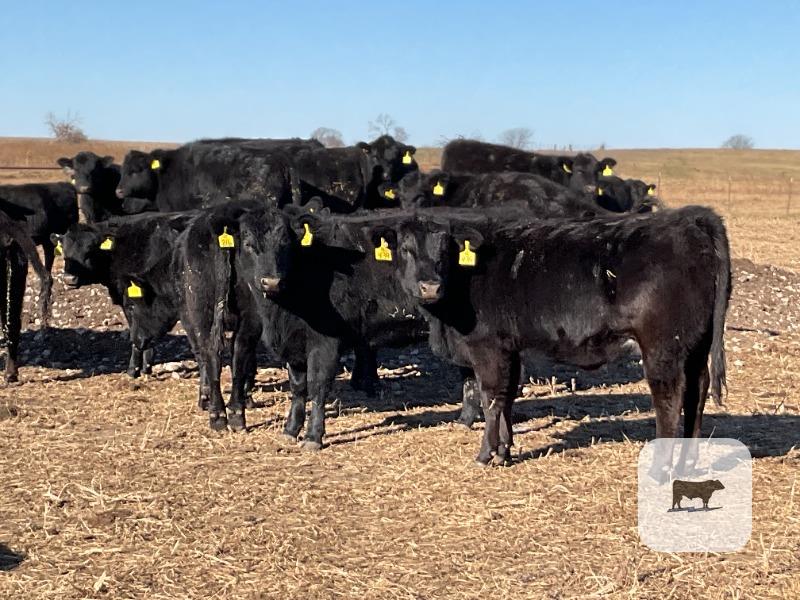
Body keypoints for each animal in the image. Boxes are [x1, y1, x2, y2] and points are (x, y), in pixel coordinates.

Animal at [52, 212, 195, 379]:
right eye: (64, 252)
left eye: (89, 251)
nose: (69, 278)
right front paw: (146, 367)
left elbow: (136, 333)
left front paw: (134, 369)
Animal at [382, 206, 731, 466]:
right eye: (406, 249)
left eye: (446, 250)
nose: (430, 286)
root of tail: (690, 218)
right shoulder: (511, 348)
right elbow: (507, 398)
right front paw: (504, 451)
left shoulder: (488, 348)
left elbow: (490, 397)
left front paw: (486, 454)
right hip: (695, 345)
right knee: (697, 391)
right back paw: (688, 461)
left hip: (662, 347)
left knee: (669, 398)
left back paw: (661, 468)